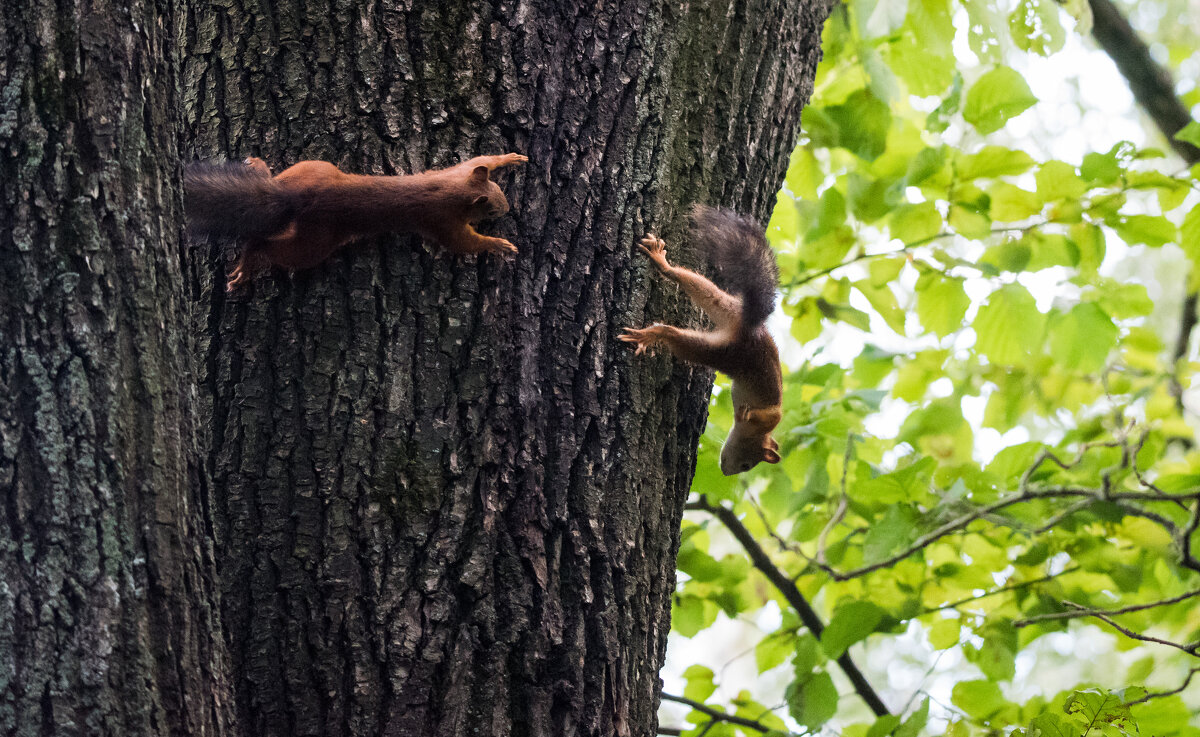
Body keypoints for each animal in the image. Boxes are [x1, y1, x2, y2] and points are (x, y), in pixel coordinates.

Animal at [182, 153, 525, 291]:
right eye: (491, 211)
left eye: (498, 189)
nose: (508, 208)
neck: (455, 191)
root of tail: (296, 198)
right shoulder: (443, 221)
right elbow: (464, 243)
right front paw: (499, 245)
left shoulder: (459, 172)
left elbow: (480, 159)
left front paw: (509, 158)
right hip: (314, 244)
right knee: (265, 247)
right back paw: (248, 262)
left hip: (309, 168)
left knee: (274, 180)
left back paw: (259, 167)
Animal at [624, 205, 782, 477]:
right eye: (746, 464)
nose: (726, 472)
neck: (758, 433)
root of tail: (750, 329)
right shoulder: (769, 416)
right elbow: (769, 415)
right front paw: (745, 413)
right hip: (726, 354)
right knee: (677, 338)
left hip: (724, 306)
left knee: (694, 286)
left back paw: (662, 268)